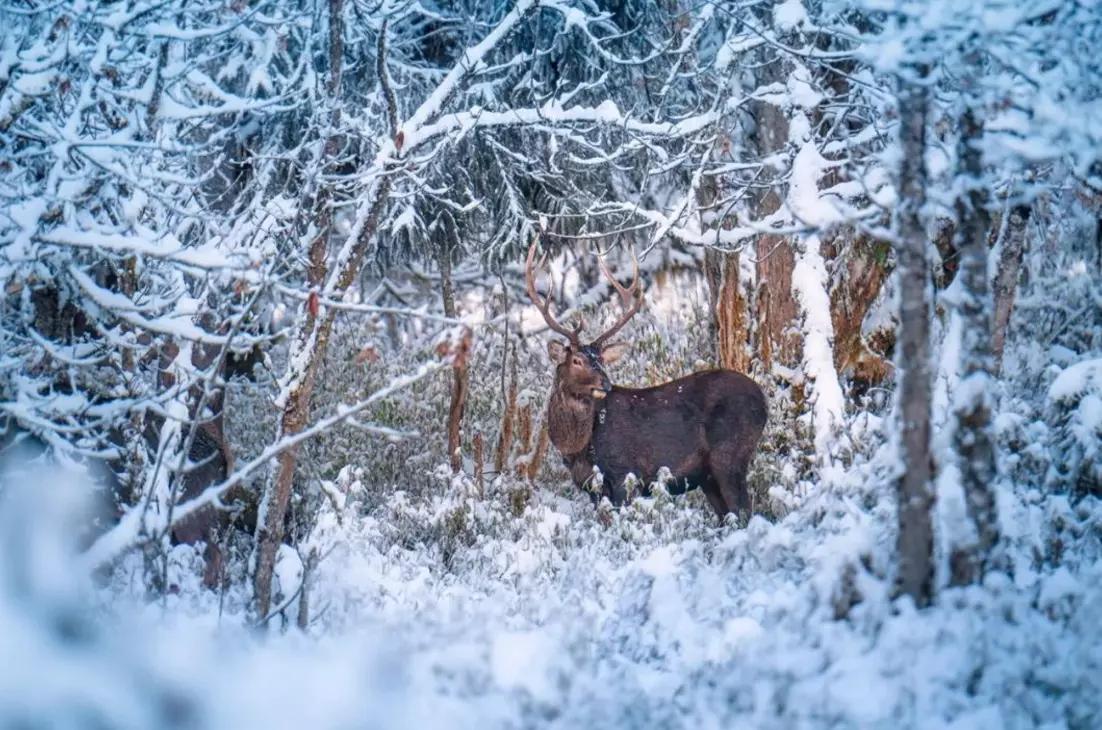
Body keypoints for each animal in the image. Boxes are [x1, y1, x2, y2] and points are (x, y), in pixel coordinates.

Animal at [524, 239, 766, 520]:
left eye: (602, 360)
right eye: (577, 360)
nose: (605, 384)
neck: (576, 448)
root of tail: (764, 401)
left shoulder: (626, 472)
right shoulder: (589, 486)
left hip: (730, 454)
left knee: (745, 511)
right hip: (708, 477)